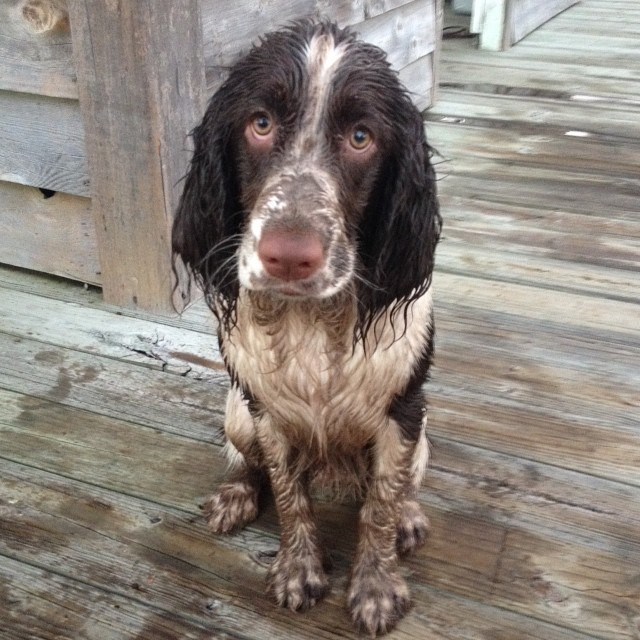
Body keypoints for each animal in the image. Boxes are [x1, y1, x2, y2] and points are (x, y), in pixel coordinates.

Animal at [171, 18, 440, 636]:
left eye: (362, 137)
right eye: (260, 124)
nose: (289, 257)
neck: (313, 322)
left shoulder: (402, 409)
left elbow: (381, 505)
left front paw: (376, 587)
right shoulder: (267, 410)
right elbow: (290, 492)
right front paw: (298, 570)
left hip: (423, 432)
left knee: (404, 484)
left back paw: (411, 517)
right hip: (235, 409)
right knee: (247, 462)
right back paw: (235, 495)